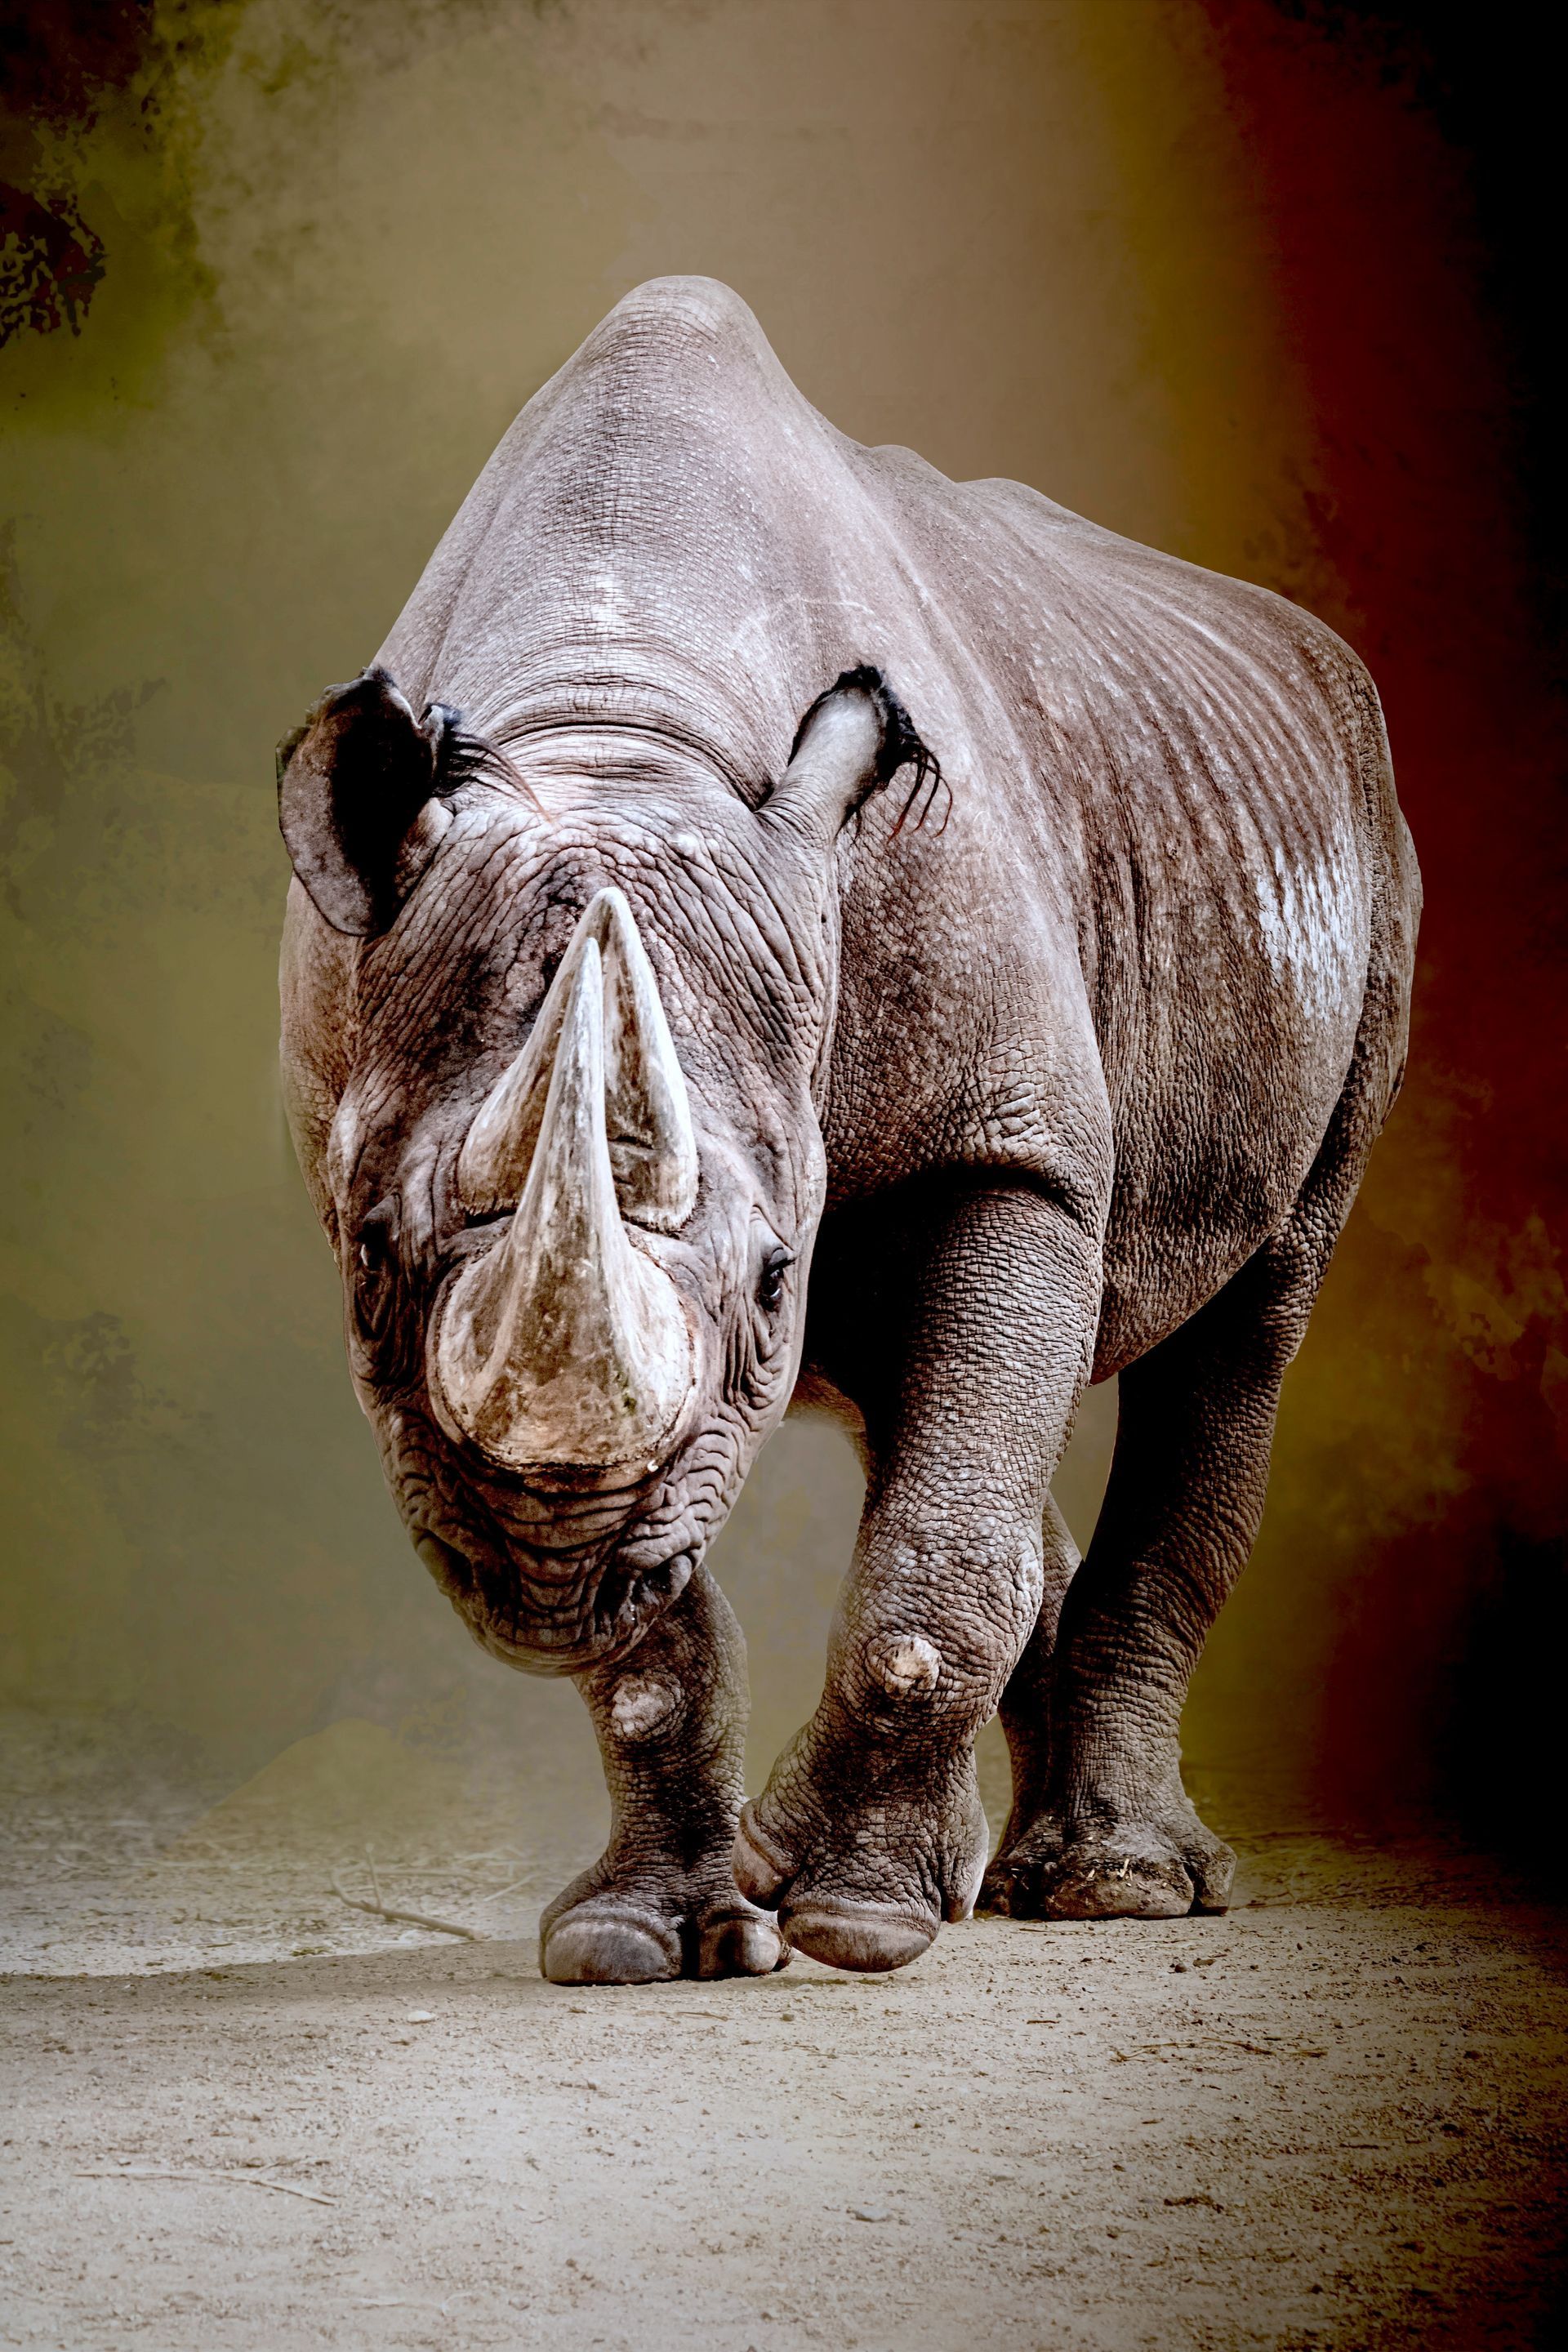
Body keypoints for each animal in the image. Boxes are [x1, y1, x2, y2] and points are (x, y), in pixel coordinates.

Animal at [277, 277, 1419, 1982]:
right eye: (360, 1262)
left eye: (771, 1278)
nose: (540, 1565)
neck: (621, 734)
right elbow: (660, 1634)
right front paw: (647, 1940)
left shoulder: (1014, 1151)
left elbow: (945, 1499)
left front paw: (854, 1920)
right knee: (929, 1393)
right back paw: (974, 1874)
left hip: (1370, 854)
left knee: (1250, 1314)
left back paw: (1105, 1890)